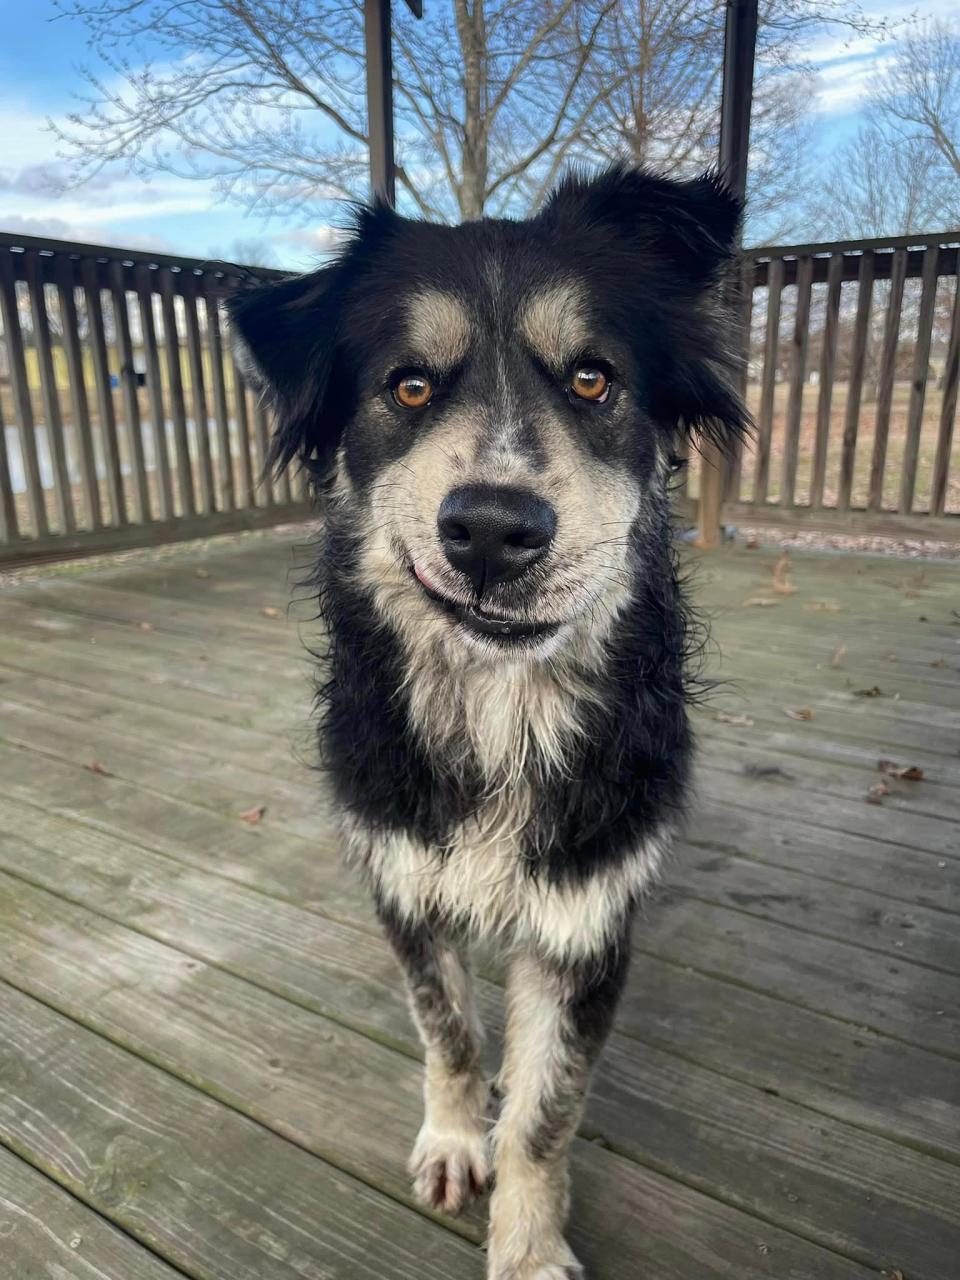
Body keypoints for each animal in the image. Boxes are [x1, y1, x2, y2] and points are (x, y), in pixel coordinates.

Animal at [227, 170, 752, 1280]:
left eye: (593, 379)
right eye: (408, 387)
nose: (492, 531)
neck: (499, 707)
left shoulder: (585, 922)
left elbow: (549, 1110)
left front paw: (526, 1243)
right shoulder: (405, 881)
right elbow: (449, 1030)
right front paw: (457, 1137)